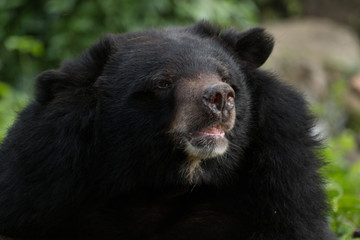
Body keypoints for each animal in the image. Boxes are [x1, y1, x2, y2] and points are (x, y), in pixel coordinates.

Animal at [0, 21, 334, 239]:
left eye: (227, 77)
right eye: (163, 83)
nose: (220, 97)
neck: (163, 181)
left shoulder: (281, 164)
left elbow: (292, 224)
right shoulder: (46, 171)